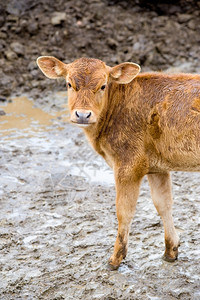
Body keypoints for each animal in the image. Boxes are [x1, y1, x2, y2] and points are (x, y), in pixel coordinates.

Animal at [36, 56, 200, 270]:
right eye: (69, 84)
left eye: (103, 85)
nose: (82, 115)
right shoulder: (157, 168)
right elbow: (163, 204)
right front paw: (170, 251)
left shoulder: (128, 165)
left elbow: (124, 211)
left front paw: (115, 259)